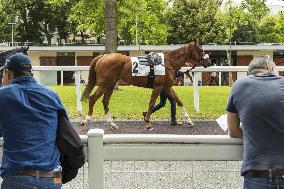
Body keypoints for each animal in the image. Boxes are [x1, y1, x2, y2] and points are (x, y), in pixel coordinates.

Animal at [81, 40, 210, 130]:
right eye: (201, 49)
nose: (208, 61)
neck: (168, 62)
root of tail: (102, 56)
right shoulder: (158, 87)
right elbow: (152, 103)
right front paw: (148, 123)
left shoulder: (167, 87)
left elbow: (179, 101)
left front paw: (189, 120)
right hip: (104, 84)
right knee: (92, 98)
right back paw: (86, 120)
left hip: (110, 85)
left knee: (105, 101)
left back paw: (112, 124)